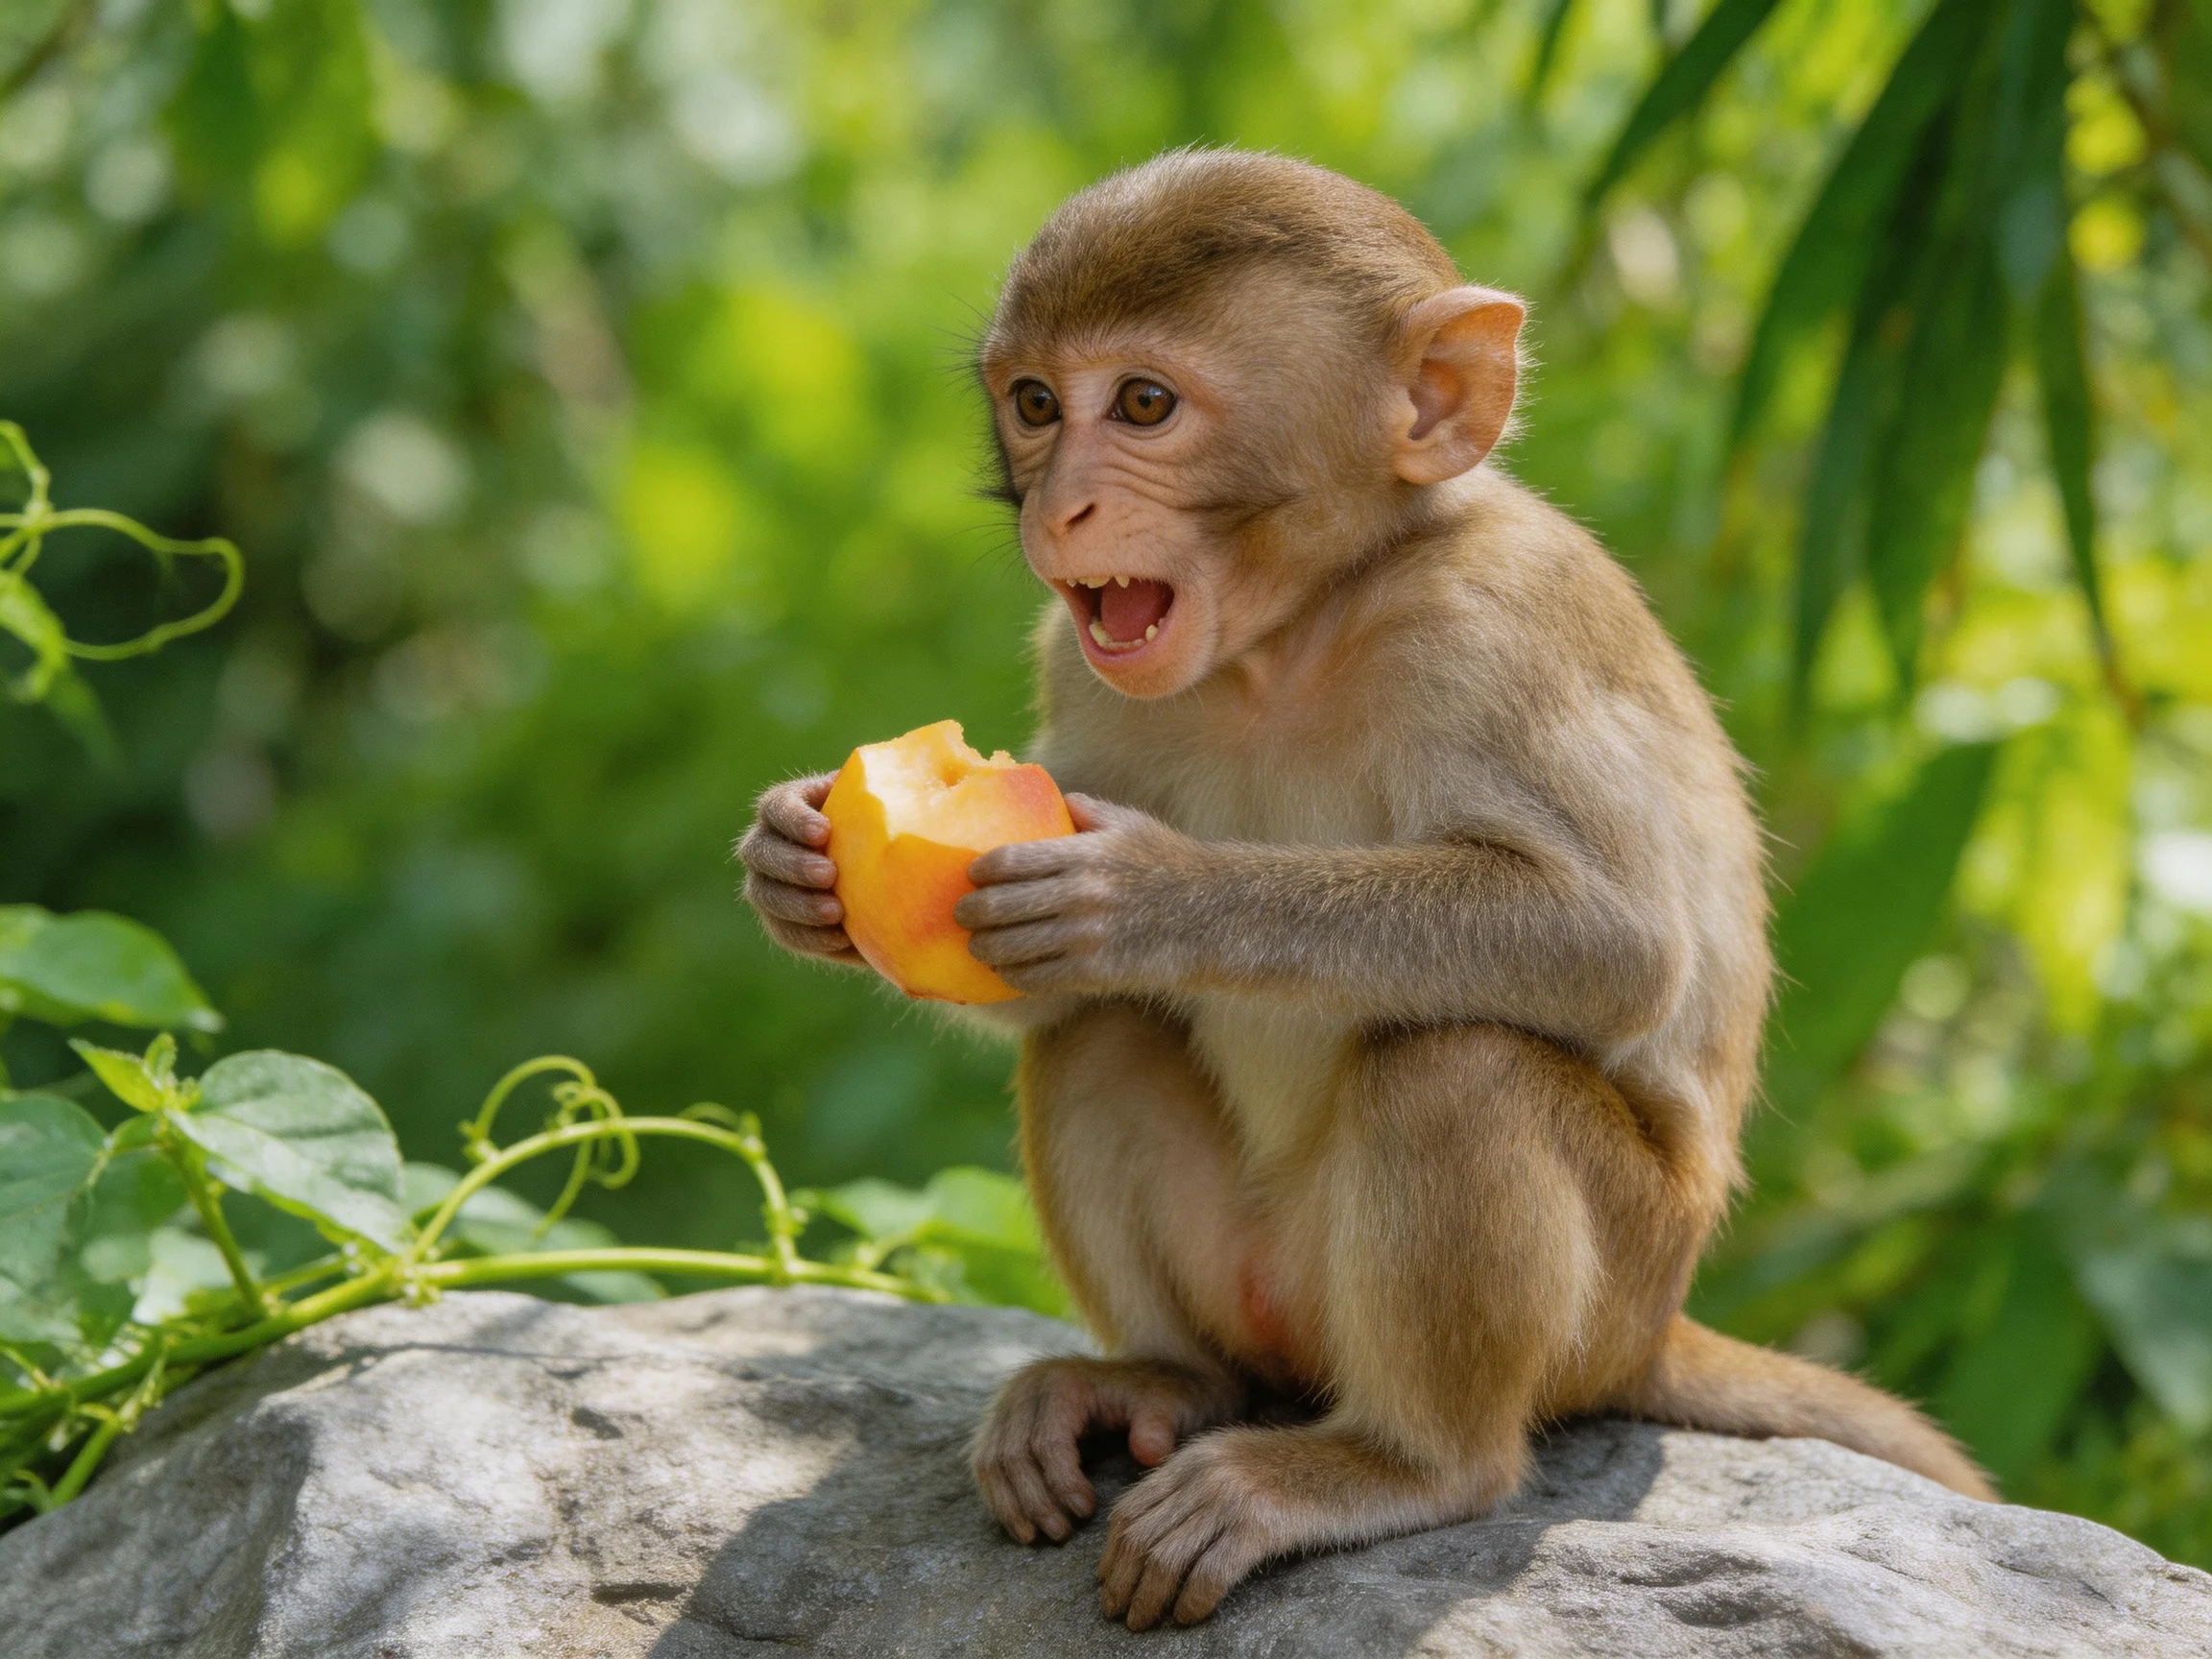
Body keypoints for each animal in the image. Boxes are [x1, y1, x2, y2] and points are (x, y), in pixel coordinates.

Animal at [738, 149, 1994, 1632]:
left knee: (1457, 1067)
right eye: (1036, 404)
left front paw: (1148, 897)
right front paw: (793, 870)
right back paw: (1160, 1381)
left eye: (1144, 404)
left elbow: (1617, 947)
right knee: (1099, 1034)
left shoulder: (1495, 621)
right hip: (1265, 1291)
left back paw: (1399, 1467)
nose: (1059, 508)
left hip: (1609, 1297)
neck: (1297, 630)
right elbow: (1035, 984)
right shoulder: (1074, 659)